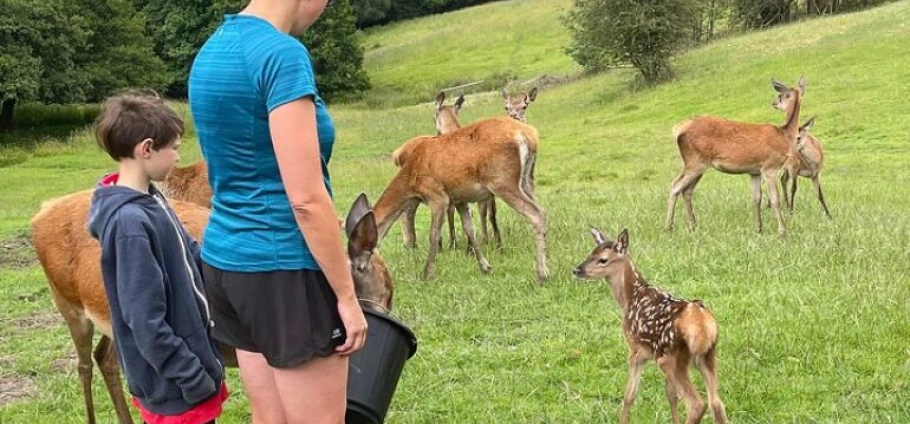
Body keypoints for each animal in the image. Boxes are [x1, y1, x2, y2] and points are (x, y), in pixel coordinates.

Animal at [374, 117, 544, 282]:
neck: (411, 179)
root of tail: (529, 135)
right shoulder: (459, 199)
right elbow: (469, 229)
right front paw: (485, 267)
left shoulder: (437, 196)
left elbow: (433, 234)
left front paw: (427, 273)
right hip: (527, 180)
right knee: (541, 209)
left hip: (502, 181)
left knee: (537, 214)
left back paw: (541, 274)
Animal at [572, 229, 732, 424]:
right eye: (590, 253)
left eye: (603, 259)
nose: (577, 270)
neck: (629, 299)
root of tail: (702, 323)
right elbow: (671, 395)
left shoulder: (635, 349)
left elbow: (629, 395)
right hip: (707, 356)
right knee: (716, 403)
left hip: (670, 357)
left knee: (697, 404)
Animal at [668, 78, 808, 237]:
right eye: (781, 94)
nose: (774, 103)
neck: (784, 136)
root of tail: (677, 130)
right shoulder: (769, 167)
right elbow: (774, 200)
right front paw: (782, 231)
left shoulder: (755, 172)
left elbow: (756, 198)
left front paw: (759, 229)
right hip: (695, 161)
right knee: (675, 185)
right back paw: (669, 227)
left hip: (698, 164)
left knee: (686, 190)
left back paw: (693, 226)